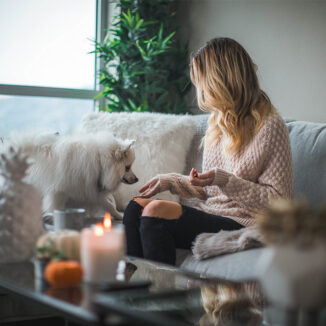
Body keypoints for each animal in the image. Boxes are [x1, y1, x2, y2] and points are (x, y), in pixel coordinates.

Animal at [7, 131, 138, 220]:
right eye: (127, 167)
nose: (137, 179)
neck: (99, 162)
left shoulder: (91, 189)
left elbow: (109, 205)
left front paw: (119, 215)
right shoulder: (59, 191)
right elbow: (56, 207)